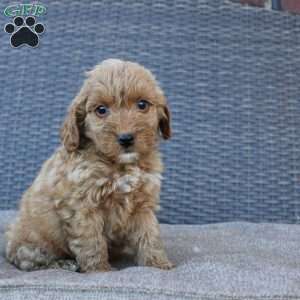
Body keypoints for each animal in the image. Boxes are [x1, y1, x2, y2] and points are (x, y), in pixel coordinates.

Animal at [4, 58, 173, 272]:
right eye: (101, 110)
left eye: (142, 104)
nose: (125, 138)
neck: (119, 164)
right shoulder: (82, 207)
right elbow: (91, 241)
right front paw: (99, 269)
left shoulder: (143, 203)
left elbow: (150, 234)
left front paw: (157, 264)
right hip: (32, 245)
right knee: (32, 261)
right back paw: (64, 263)